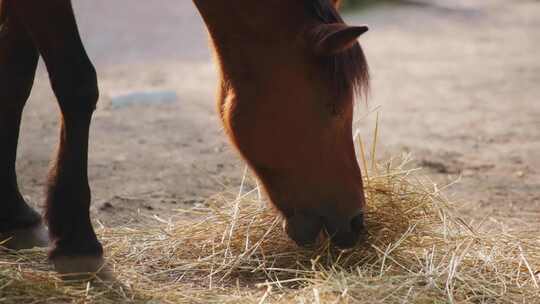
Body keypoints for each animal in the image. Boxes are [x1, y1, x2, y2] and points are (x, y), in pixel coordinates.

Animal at [0, 0, 370, 276]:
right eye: (334, 107)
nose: (356, 221)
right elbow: (76, 83)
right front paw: (75, 239)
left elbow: (16, 78)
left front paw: (15, 215)